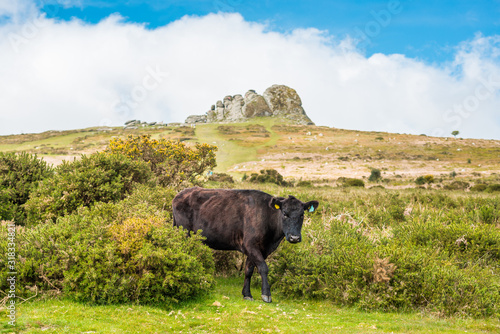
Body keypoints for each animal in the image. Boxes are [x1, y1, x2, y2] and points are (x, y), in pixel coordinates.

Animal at [174, 187, 318, 304]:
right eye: (284, 213)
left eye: (302, 215)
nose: (294, 238)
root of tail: (180, 194)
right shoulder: (251, 245)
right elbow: (263, 268)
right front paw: (266, 294)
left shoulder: (261, 249)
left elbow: (249, 270)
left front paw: (247, 294)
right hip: (184, 233)